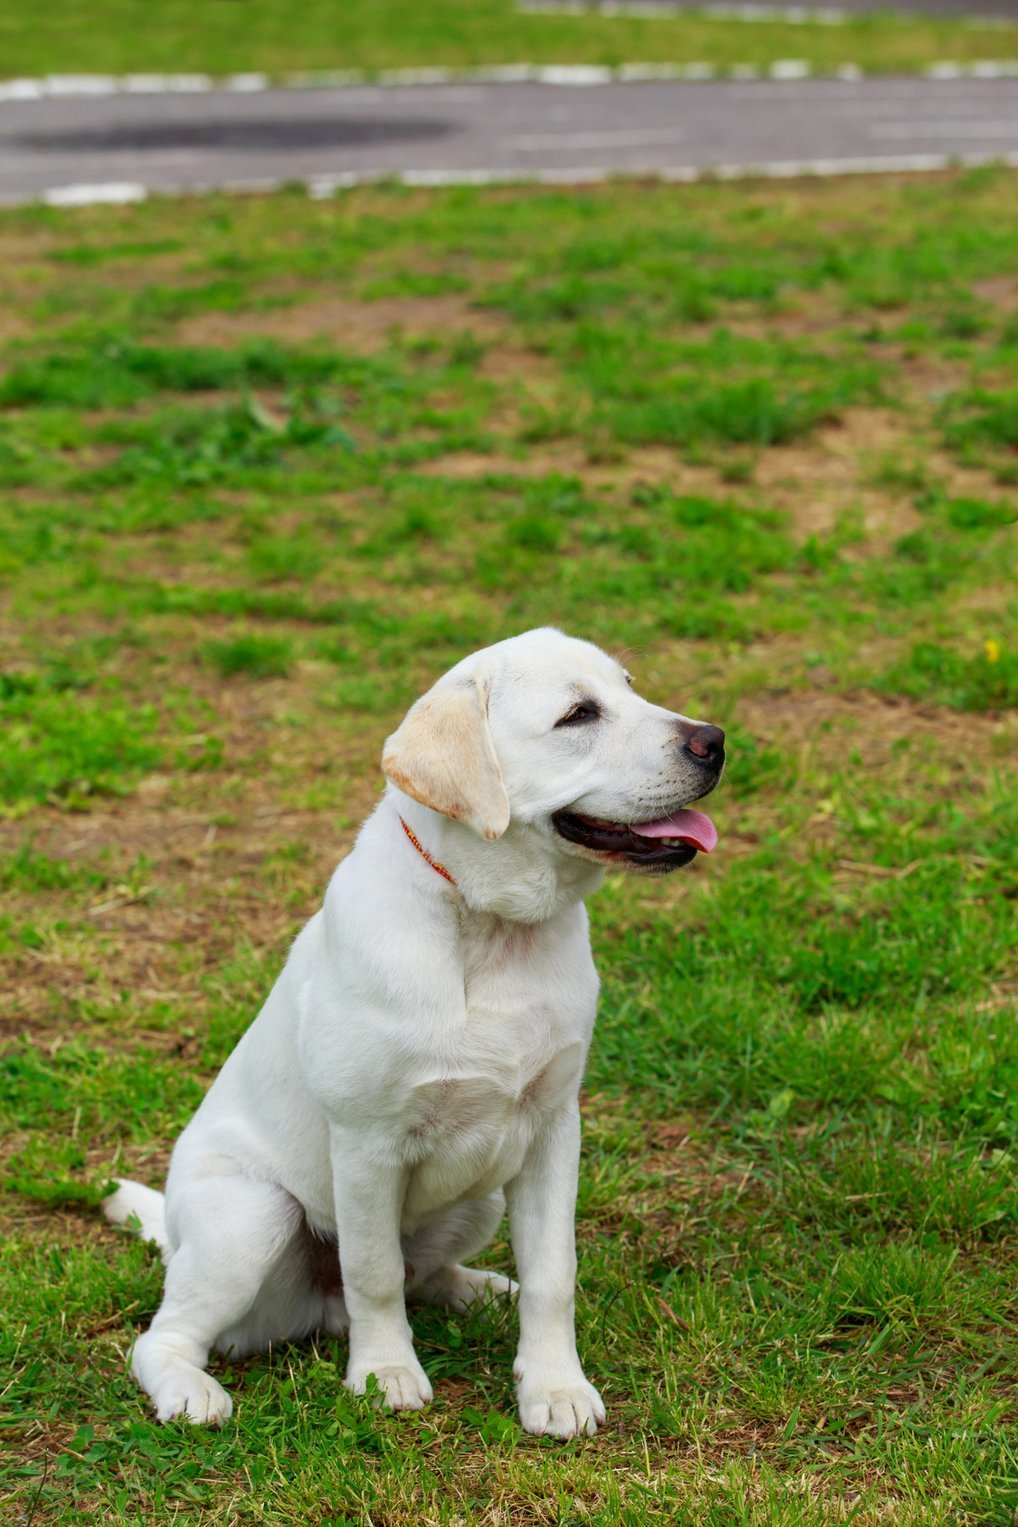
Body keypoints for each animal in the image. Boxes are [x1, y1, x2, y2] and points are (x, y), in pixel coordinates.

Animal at [105, 626, 723, 1435]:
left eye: (629, 687)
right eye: (578, 715)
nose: (716, 741)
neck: (490, 927)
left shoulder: (553, 1127)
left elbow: (553, 1271)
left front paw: (554, 1386)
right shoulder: (367, 1143)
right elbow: (371, 1274)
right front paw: (385, 1373)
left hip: (481, 1195)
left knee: (423, 1274)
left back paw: (480, 1289)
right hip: (253, 1215)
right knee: (166, 1334)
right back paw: (191, 1390)